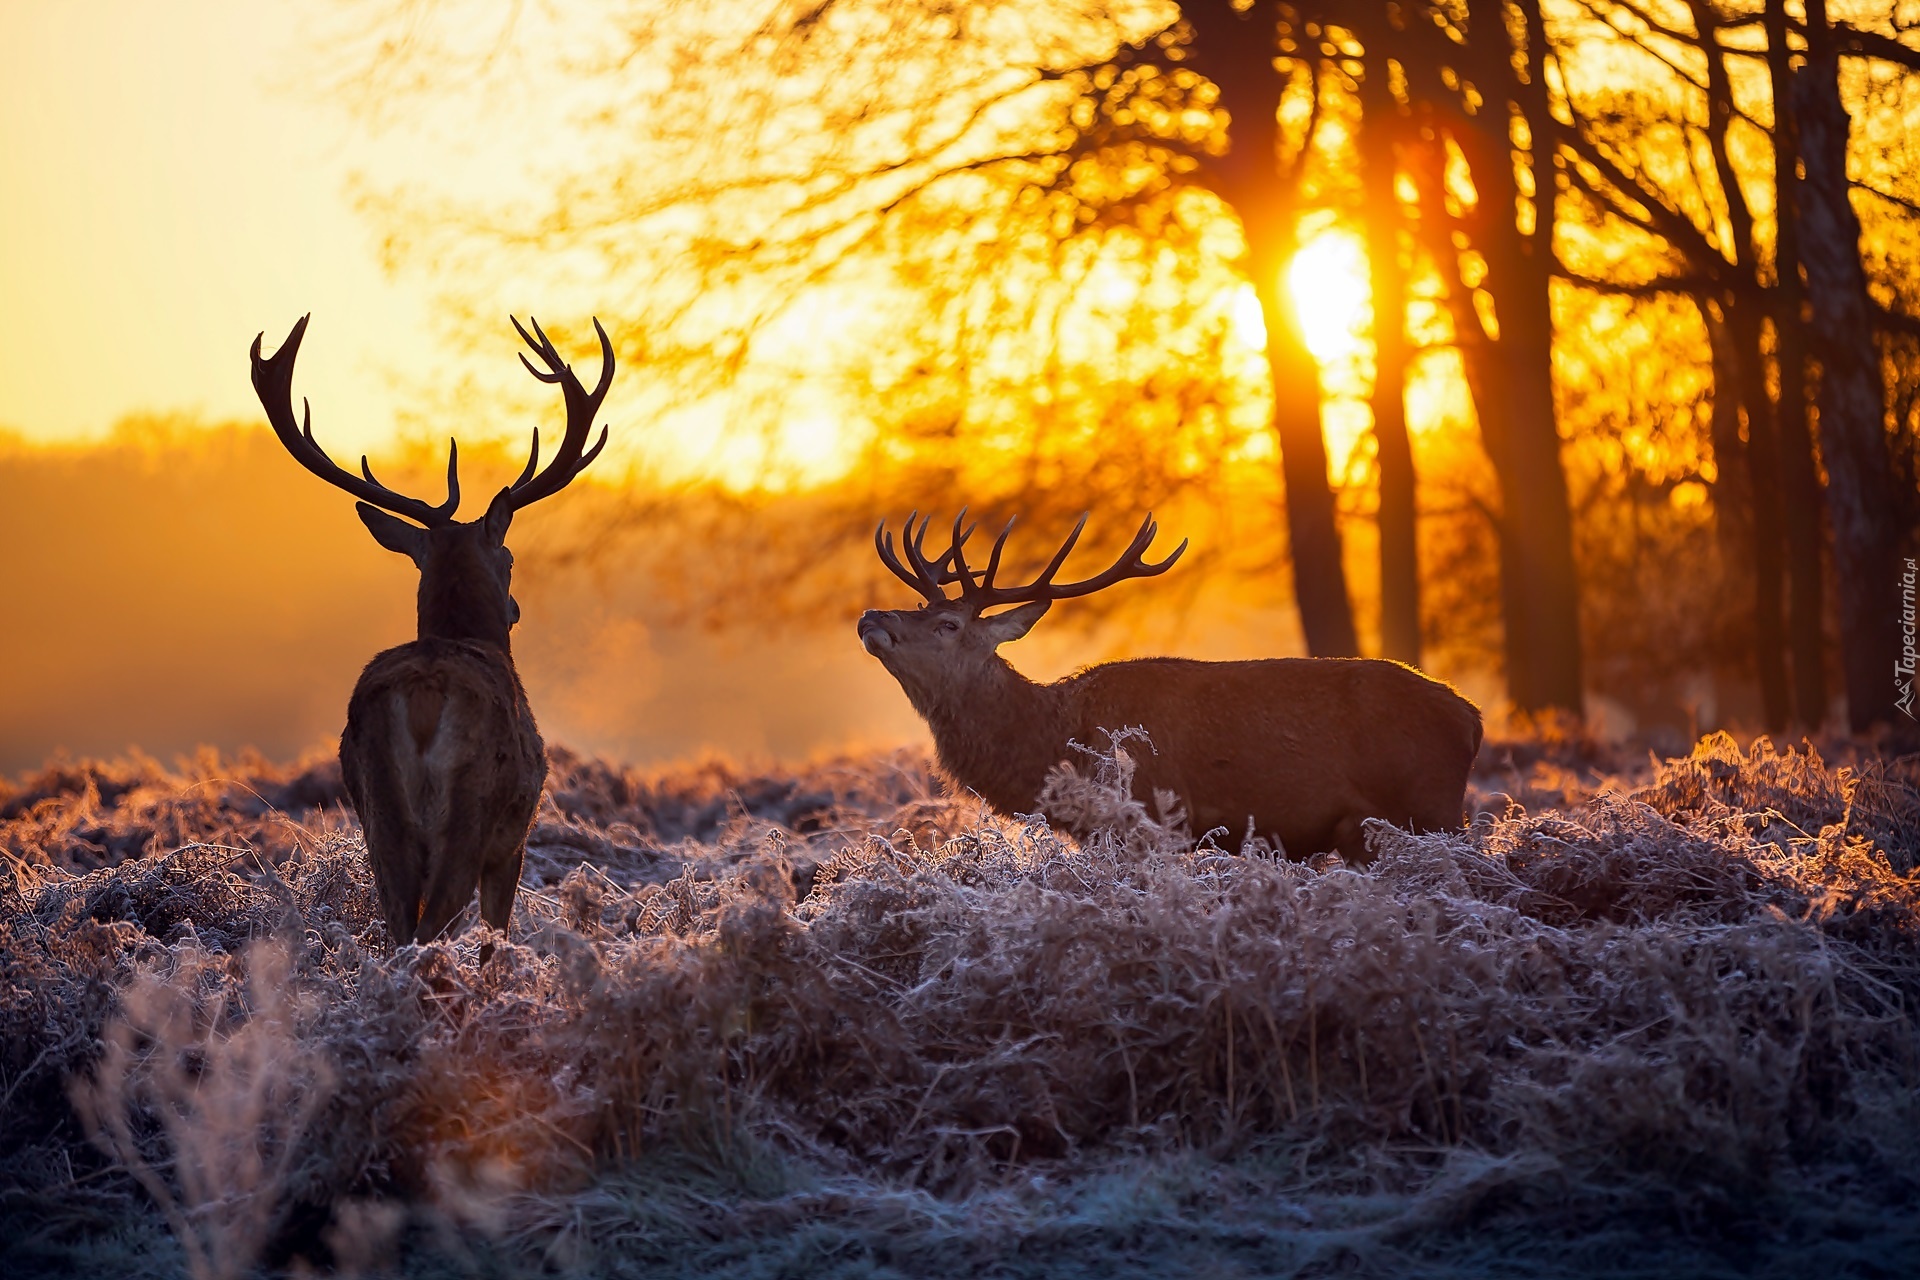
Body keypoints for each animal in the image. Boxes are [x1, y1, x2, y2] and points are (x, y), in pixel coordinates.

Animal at [245, 310, 606, 951]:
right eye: (509, 557)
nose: (515, 608)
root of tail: (422, 696)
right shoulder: (513, 840)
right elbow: (494, 932)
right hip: (470, 809)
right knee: (435, 919)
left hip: (377, 809)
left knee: (398, 926)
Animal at [860, 510, 1482, 859]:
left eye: (949, 624)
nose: (871, 616)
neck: (1056, 742)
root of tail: (1472, 718)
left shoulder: (1148, 820)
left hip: (1431, 808)